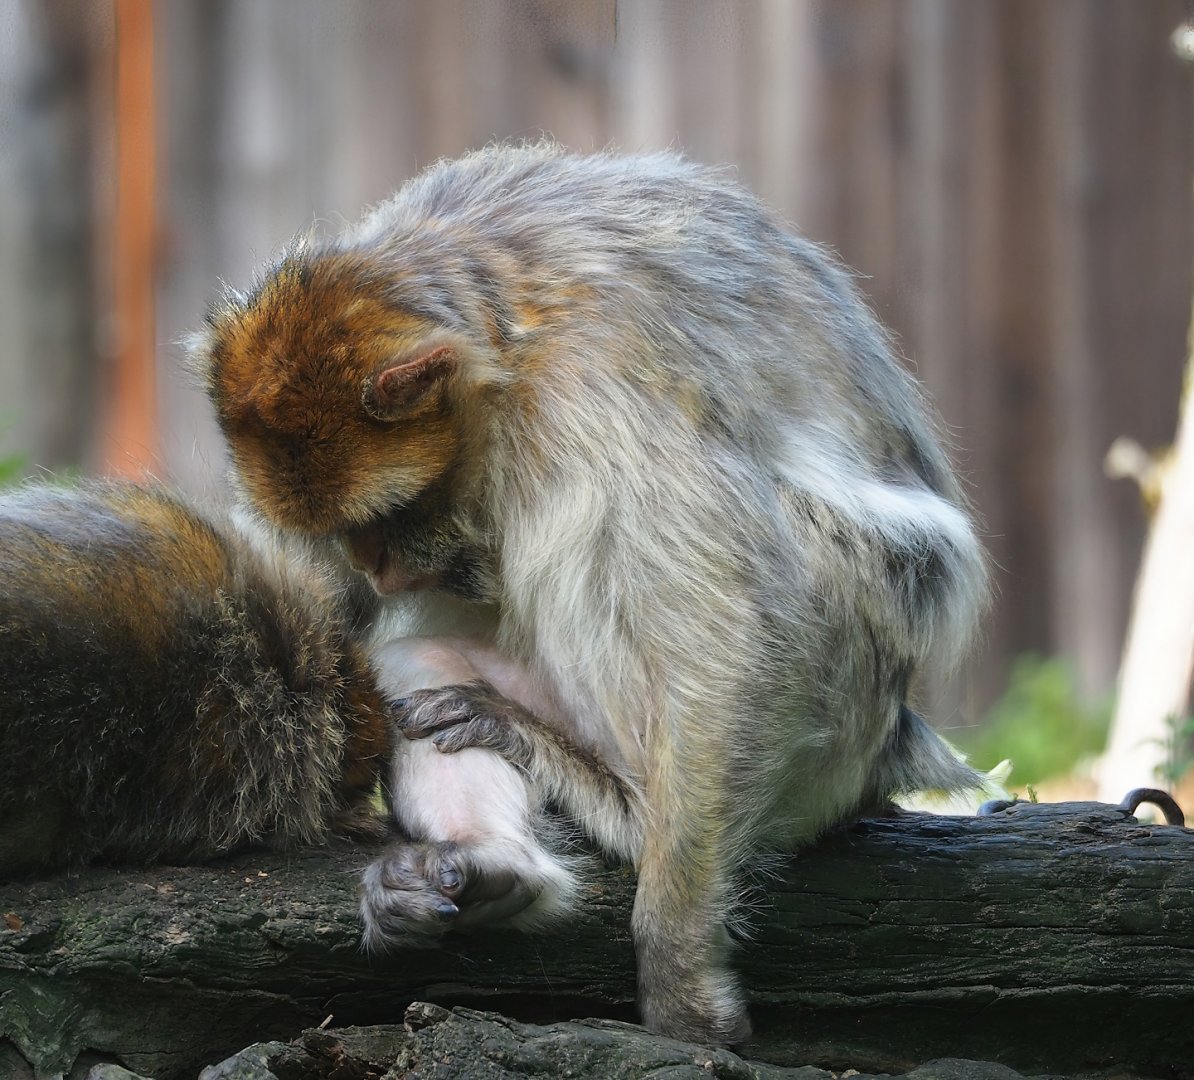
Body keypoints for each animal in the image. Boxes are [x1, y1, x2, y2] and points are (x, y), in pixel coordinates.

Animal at [194, 141, 989, 1045]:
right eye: (344, 534)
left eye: (397, 515)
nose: (383, 572)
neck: (502, 334)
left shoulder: (599, 386)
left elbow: (734, 630)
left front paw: (677, 951)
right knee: (418, 667)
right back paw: (495, 852)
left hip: (836, 726)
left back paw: (621, 810)